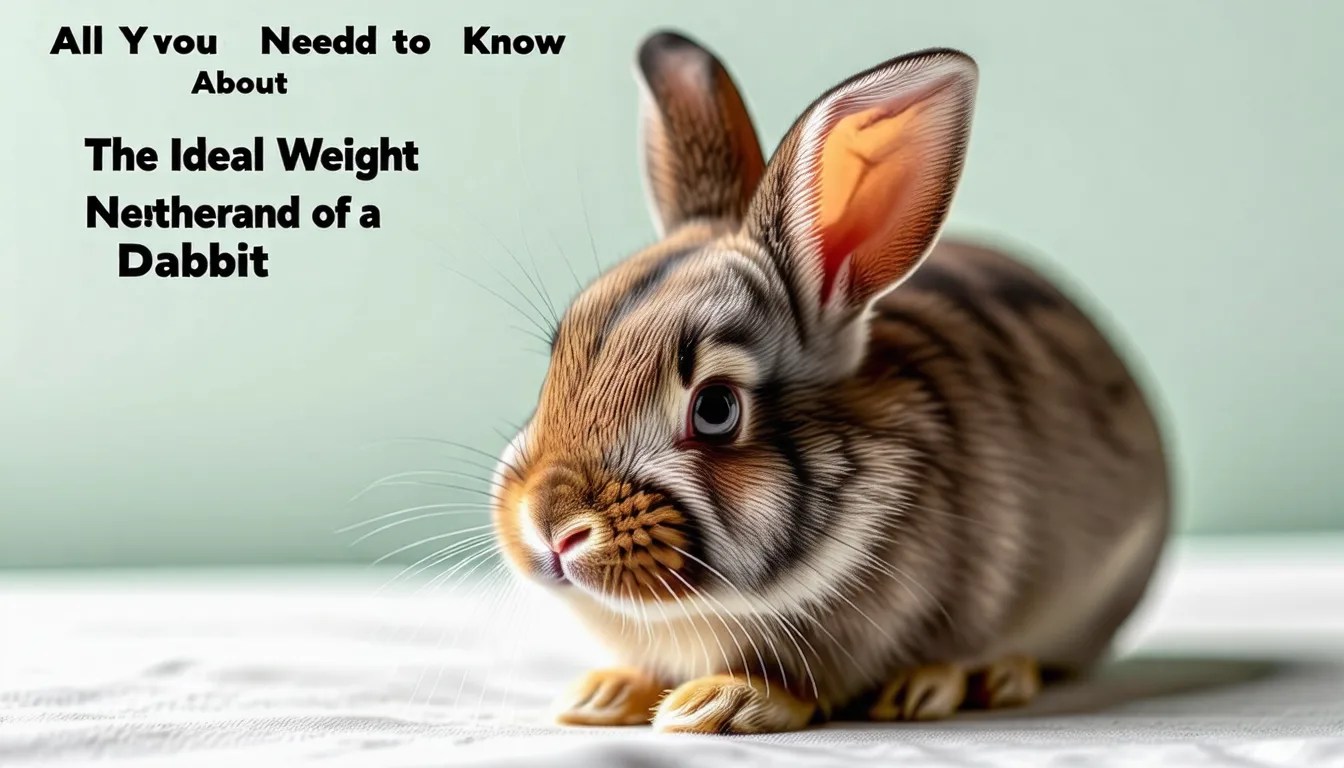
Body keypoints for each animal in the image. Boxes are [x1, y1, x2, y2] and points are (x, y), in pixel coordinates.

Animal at [489, 29, 1171, 734]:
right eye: (557, 356)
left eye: (716, 408)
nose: (551, 525)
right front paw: (603, 694)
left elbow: (794, 682)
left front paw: (714, 703)